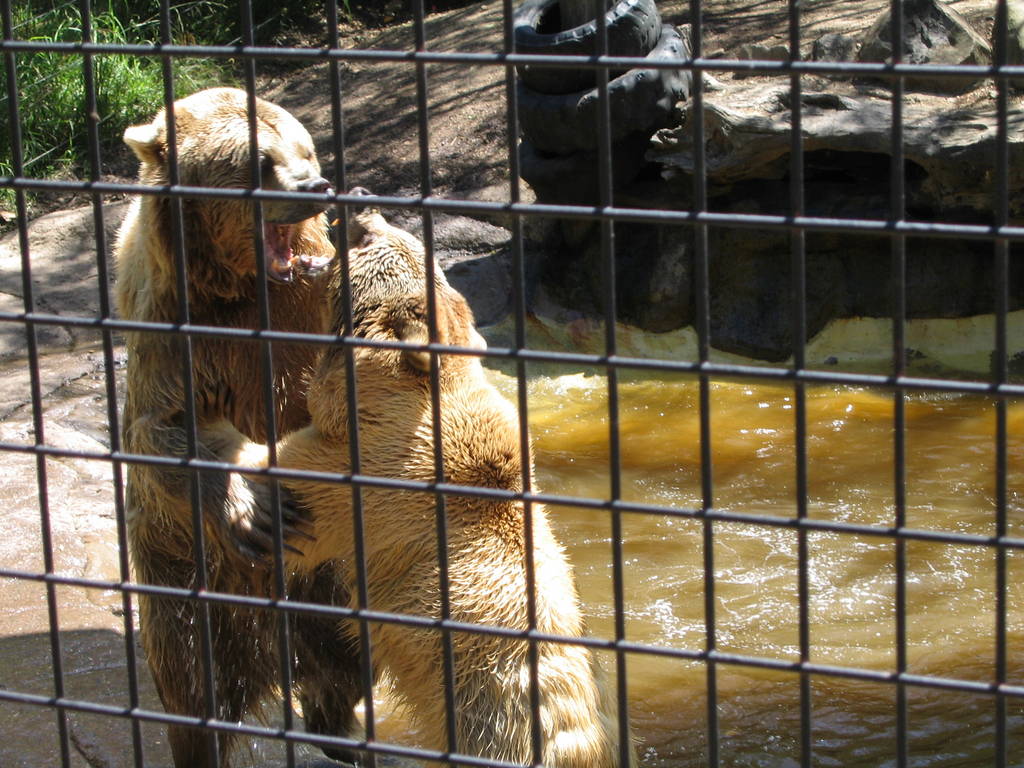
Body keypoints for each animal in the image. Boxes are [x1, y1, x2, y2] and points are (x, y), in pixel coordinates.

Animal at [114, 87, 363, 767]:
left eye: (306, 149)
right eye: (259, 160)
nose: (317, 185)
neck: (241, 290)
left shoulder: (304, 317)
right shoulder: (174, 338)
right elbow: (168, 429)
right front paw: (255, 507)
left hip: (333, 586)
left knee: (345, 665)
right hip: (182, 574)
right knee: (193, 680)